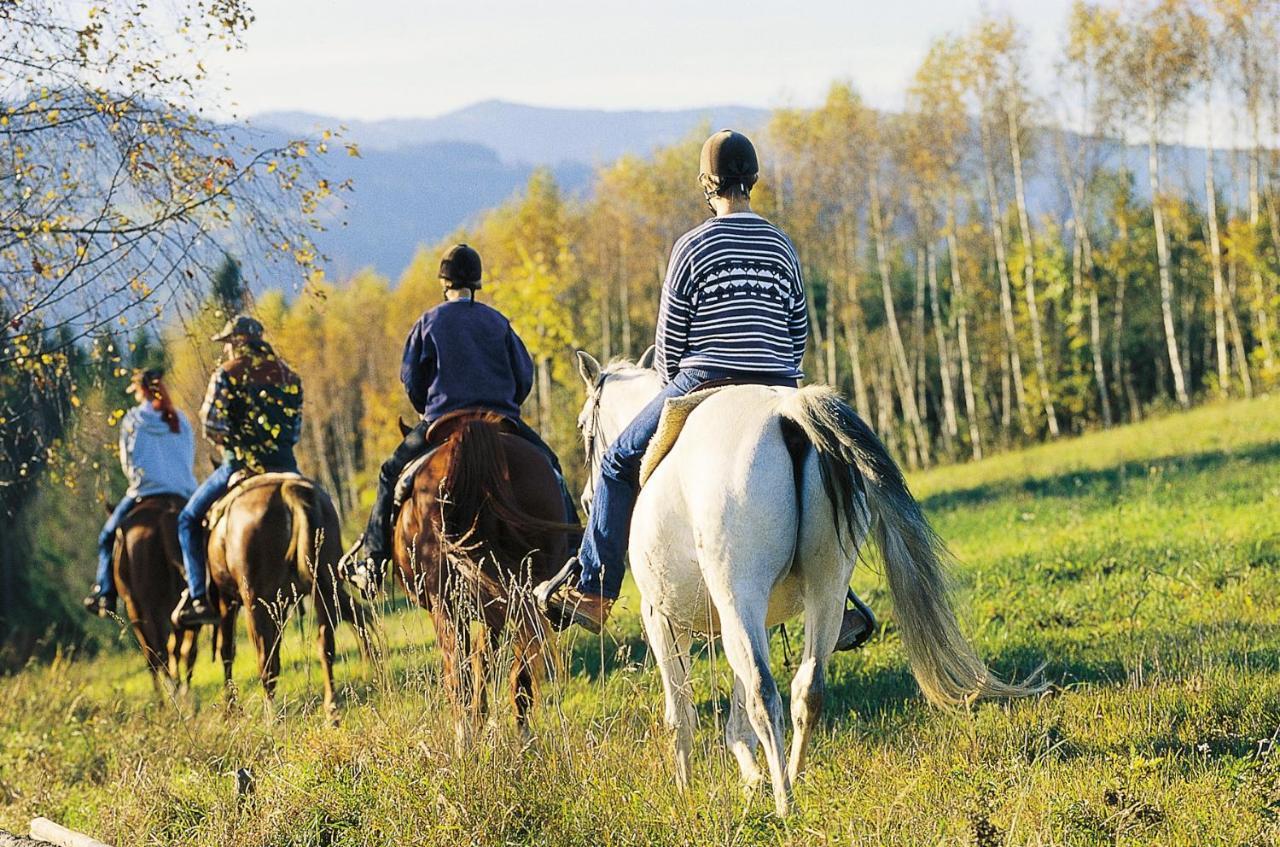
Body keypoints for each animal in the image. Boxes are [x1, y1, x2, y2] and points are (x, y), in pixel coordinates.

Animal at [206, 473, 373, 721]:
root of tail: (288, 490)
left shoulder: (228, 601)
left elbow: (227, 651)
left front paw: (230, 708)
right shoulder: (280, 605)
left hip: (254, 602)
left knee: (265, 662)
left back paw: (271, 716)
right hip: (322, 590)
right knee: (326, 644)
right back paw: (332, 707)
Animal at [391, 411, 568, 731]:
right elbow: (484, 658)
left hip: (447, 605)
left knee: (457, 675)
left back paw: (466, 736)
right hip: (521, 594)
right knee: (521, 672)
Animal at [576, 350, 1044, 818]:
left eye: (583, 427)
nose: (585, 499)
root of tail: (787, 412)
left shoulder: (662, 618)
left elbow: (682, 714)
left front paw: (686, 791)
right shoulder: (753, 621)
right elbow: (736, 710)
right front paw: (751, 777)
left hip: (738, 591)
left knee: (765, 694)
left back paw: (784, 802)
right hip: (825, 589)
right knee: (808, 689)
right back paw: (793, 779)